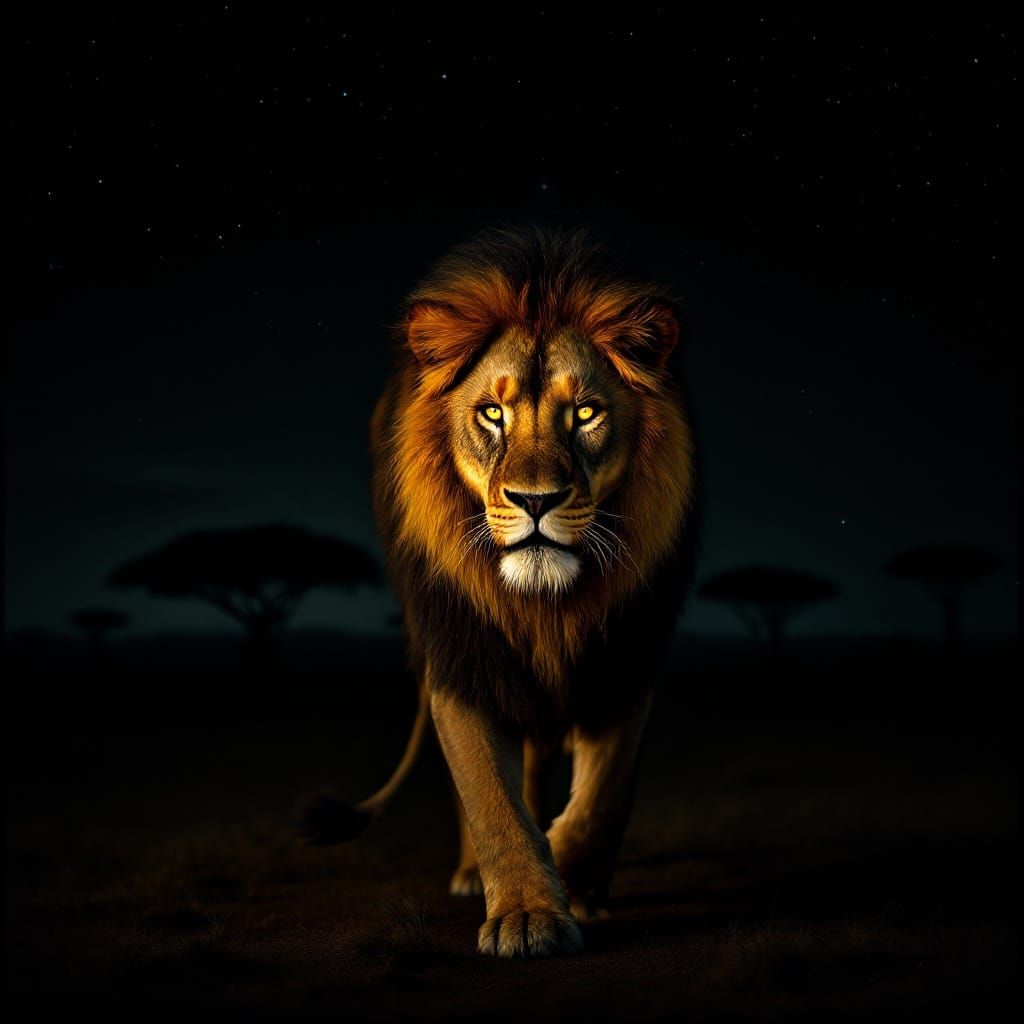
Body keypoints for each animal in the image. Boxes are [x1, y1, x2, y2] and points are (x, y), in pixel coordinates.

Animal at [303, 226, 698, 958]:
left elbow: (601, 798)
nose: (535, 501)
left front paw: (572, 880)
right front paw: (526, 913)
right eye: (492, 413)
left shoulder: (628, 658)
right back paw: (470, 876)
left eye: (586, 412)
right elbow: (489, 797)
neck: (547, 606)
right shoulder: (463, 658)